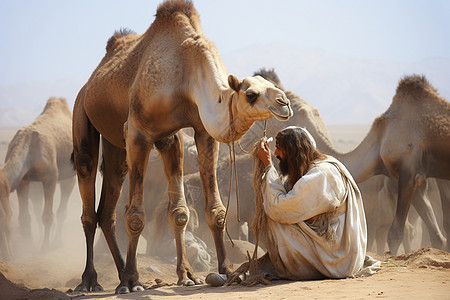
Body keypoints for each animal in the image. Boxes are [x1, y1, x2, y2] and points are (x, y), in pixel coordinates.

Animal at [0, 97, 75, 254]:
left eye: (3, 217)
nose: (6, 255)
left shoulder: (50, 177)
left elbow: (47, 216)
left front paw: (45, 248)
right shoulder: (23, 181)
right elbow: (24, 218)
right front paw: (30, 248)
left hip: (70, 175)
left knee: (62, 209)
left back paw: (57, 242)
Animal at [70, 1, 292, 294]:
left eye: (274, 86)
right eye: (251, 94)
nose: (284, 103)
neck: (188, 71)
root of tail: (90, 82)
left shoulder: (193, 133)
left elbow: (199, 212)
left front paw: (210, 273)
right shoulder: (138, 132)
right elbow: (136, 216)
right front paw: (132, 282)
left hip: (116, 142)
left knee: (107, 209)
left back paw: (119, 273)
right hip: (82, 113)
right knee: (88, 192)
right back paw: (91, 281)